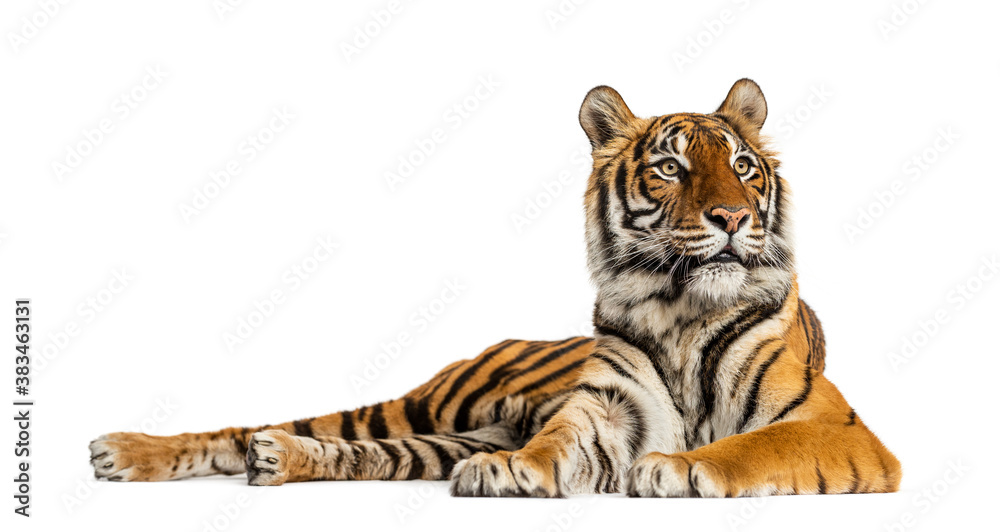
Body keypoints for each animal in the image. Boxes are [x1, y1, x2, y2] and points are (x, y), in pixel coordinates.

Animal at [90, 79, 901, 497]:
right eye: (671, 167)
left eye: (744, 168)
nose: (731, 217)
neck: (680, 310)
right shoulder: (606, 409)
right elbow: (556, 441)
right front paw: (515, 471)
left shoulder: (836, 427)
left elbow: (754, 445)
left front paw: (675, 468)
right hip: (429, 403)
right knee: (263, 427)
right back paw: (125, 452)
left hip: (443, 433)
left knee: (365, 453)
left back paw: (277, 460)